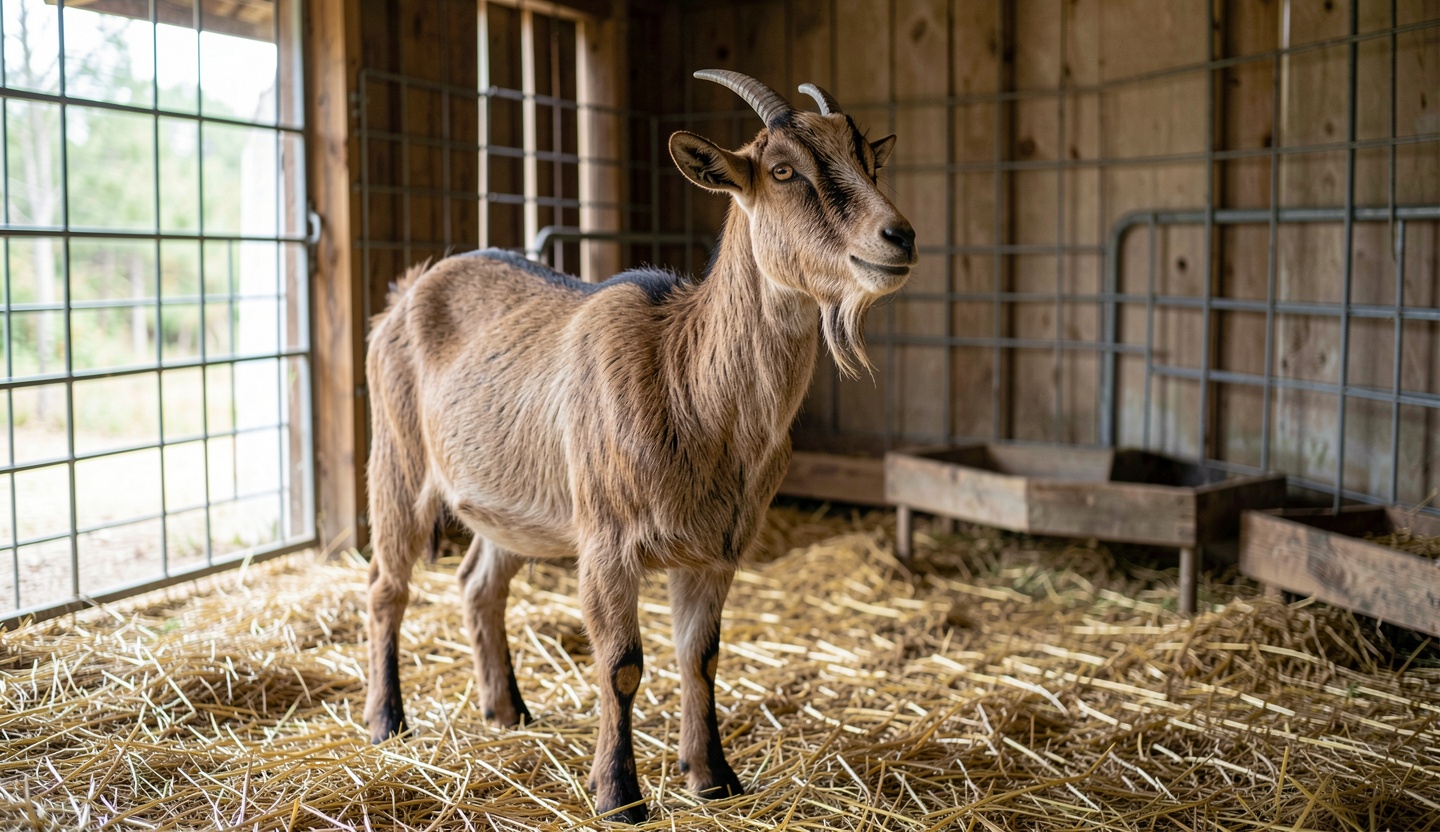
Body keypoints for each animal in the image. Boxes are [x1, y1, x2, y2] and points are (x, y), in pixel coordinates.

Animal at [362, 70, 916, 823]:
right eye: (782, 170)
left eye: (869, 162)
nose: (899, 236)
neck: (688, 383)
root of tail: (407, 290)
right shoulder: (605, 539)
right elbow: (622, 664)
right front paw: (618, 795)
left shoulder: (716, 550)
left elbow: (701, 657)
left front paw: (712, 776)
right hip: (397, 457)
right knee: (386, 586)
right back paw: (387, 721)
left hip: (512, 504)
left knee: (478, 584)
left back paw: (508, 712)